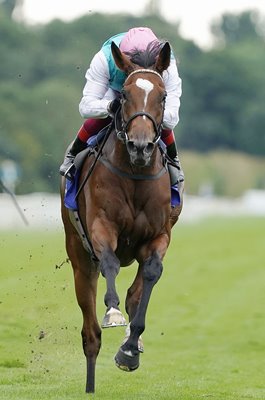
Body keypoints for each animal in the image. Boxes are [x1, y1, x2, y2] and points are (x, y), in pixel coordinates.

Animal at [60, 41, 183, 394]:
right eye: (125, 95)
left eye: (163, 97)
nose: (141, 146)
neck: (135, 173)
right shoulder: (101, 228)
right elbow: (111, 263)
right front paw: (112, 312)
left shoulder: (159, 236)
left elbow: (150, 276)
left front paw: (130, 347)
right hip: (78, 255)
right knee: (90, 334)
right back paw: (90, 386)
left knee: (134, 293)